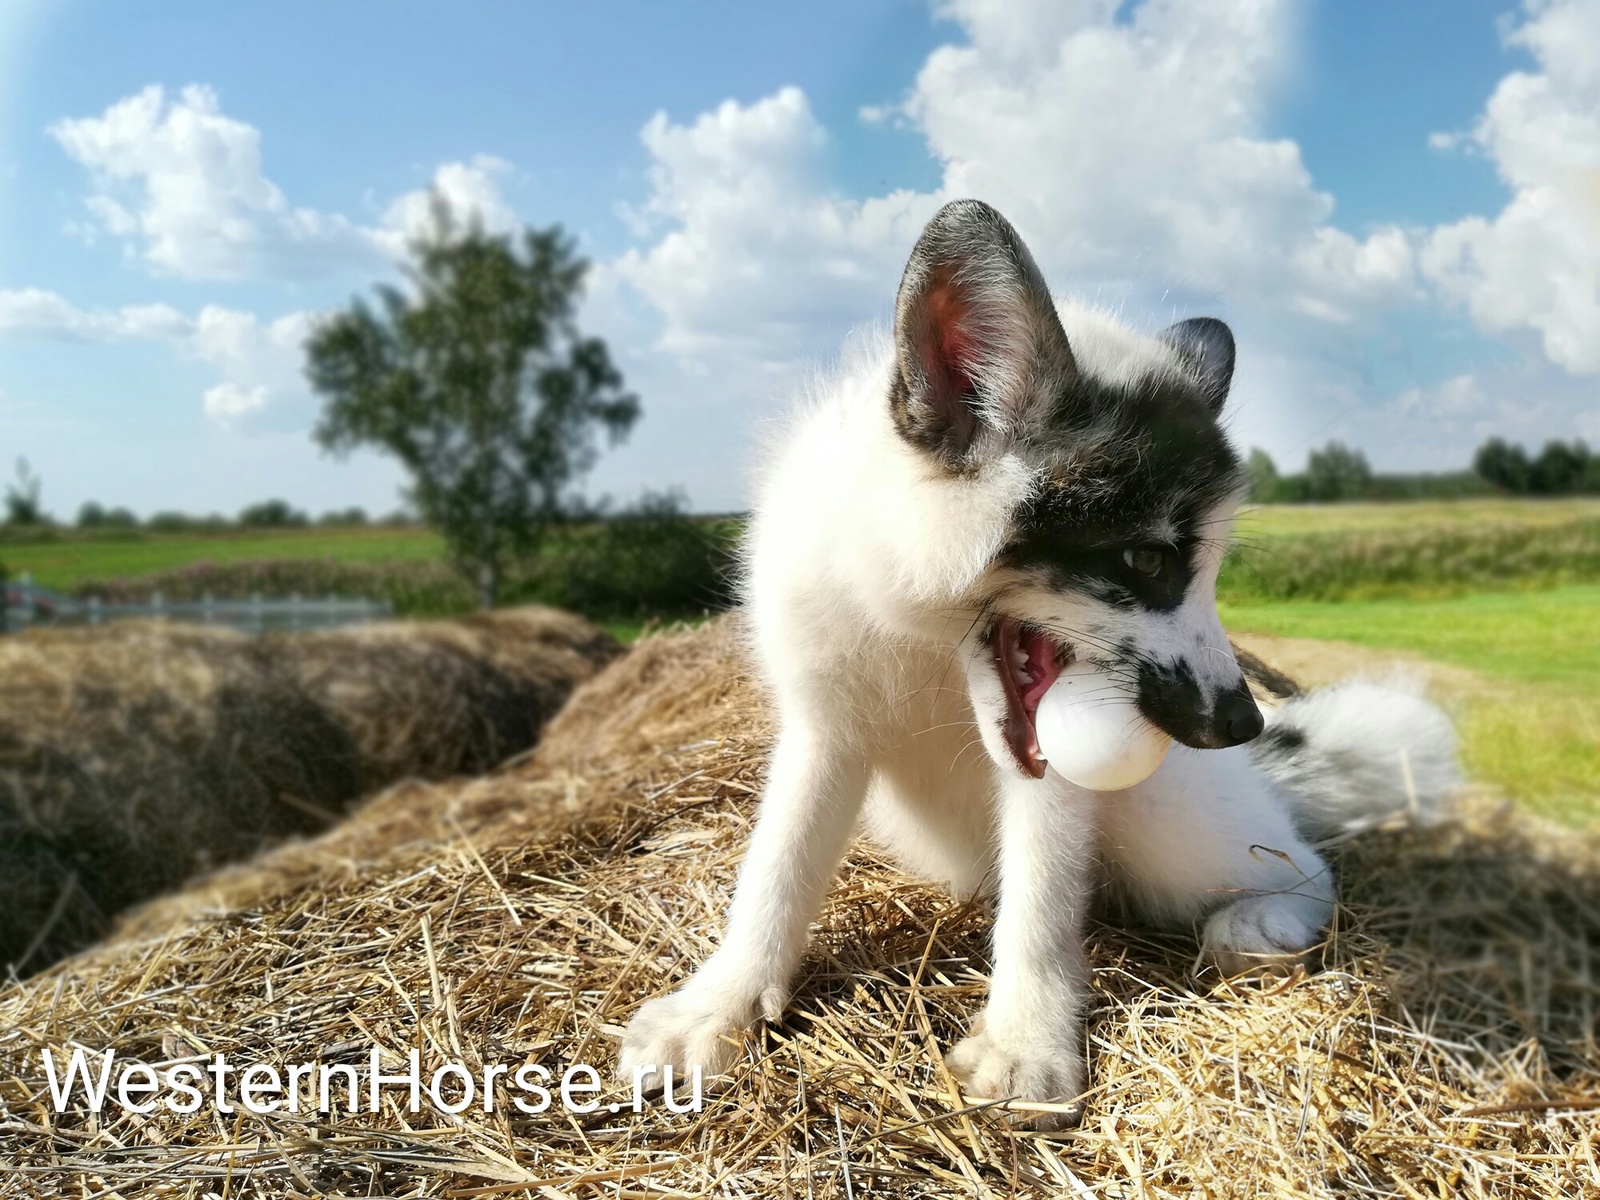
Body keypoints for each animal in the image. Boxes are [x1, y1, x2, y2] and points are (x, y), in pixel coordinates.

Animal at [614, 197, 1465, 1126]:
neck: (924, 643)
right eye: (1148, 561)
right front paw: (717, 1007)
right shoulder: (821, 733)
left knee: (1305, 865)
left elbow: (1044, 897)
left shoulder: (1056, 774)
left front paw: (1026, 1045)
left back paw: (1262, 921)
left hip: (1170, 824)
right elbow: (776, 869)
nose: (1241, 720)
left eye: (1207, 570)